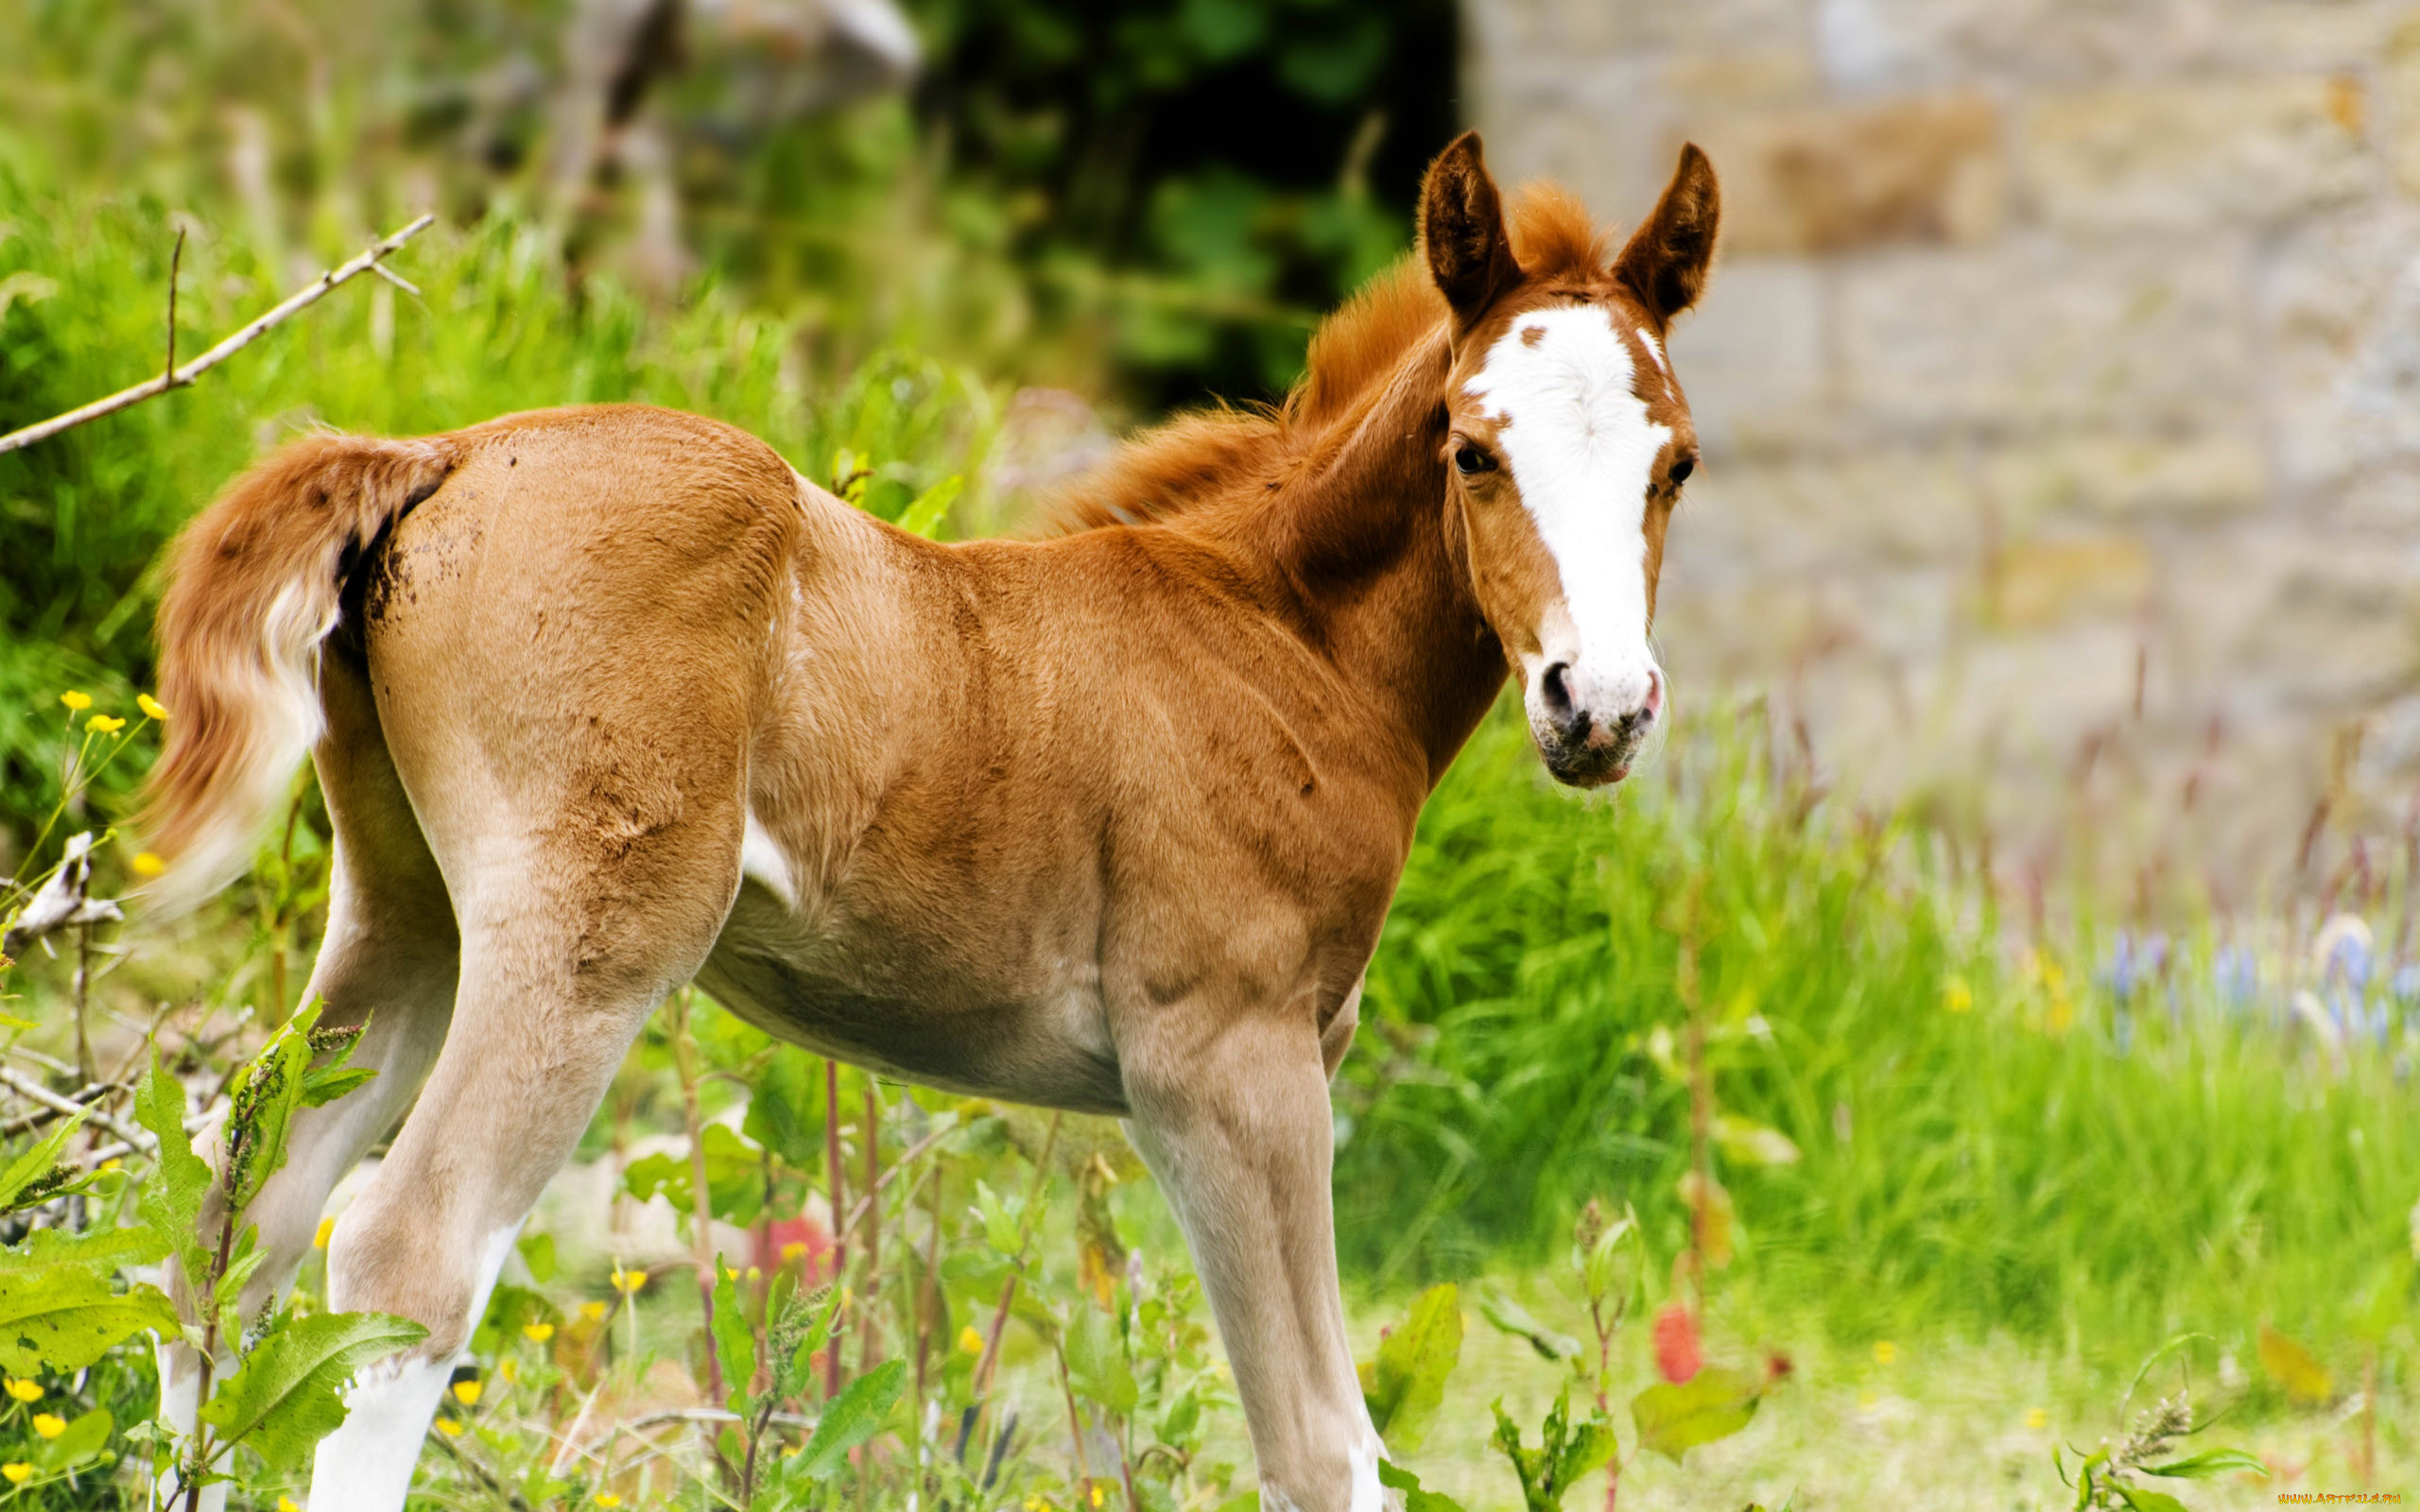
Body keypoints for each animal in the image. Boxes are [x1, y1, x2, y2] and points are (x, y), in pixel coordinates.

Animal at [137, 132, 1722, 1509]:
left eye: (1677, 464)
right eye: (1472, 449)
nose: (1600, 706)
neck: (1282, 639)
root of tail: (448, 455)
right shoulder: (1228, 1064)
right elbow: (1324, 1451)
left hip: (406, 911)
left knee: (235, 1225)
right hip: (586, 937)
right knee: (405, 1253)